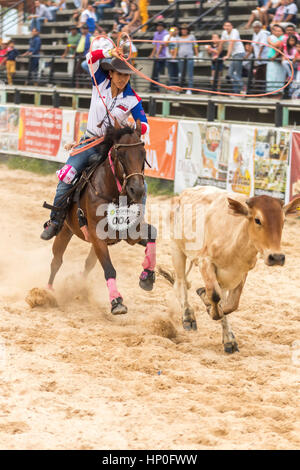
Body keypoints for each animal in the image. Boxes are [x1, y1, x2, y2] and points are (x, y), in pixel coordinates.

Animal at [47, 119, 157, 314]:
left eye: (143, 154)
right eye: (121, 154)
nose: (137, 190)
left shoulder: (130, 234)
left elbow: (153, 235)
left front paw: (147, 276)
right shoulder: (97, 237)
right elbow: (109, 269)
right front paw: (117, 302)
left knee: (87, 264)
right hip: (65, 230)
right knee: (56, 261)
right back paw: (47, 292)